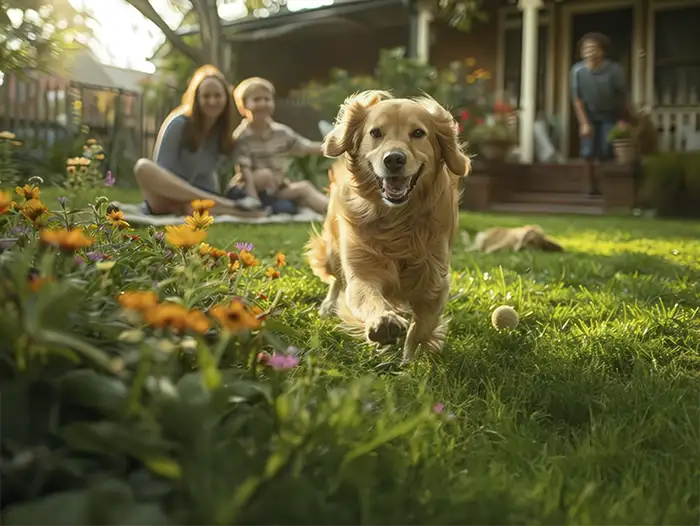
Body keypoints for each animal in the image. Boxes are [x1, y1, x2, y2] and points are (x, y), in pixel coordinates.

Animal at [306, 91, 470, 366]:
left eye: (418, 133)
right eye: (376, 133)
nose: (394, 159)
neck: (397, 222)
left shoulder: (435, 280)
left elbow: (421, 328)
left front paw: (408, 362)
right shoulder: (363, 269)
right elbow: (368, 296)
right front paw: (383, 323)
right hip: (333, 250)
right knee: (337, 278)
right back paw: (329, 306)